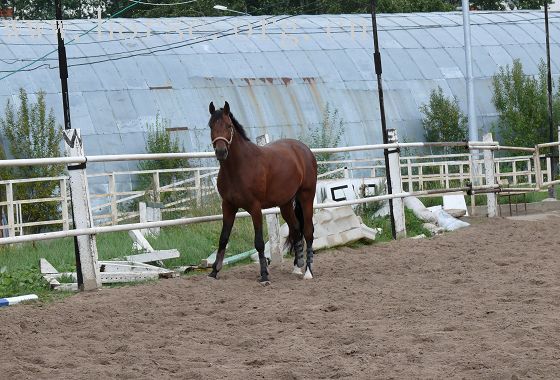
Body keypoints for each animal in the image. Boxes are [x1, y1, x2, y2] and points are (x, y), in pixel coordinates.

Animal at [208, 101, 318, 284]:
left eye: (229, 126)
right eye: (211, 125)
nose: (221, 152)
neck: (239, 167)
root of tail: (304, 150)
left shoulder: (255, 208)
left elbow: (259, 242)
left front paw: (265, 275)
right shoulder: (228, 206)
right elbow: (223, 238)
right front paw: (214, 271)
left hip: (306, 197)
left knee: (308, 231)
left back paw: (308, 271)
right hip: (285, 204)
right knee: (296, 229)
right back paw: (297, 267)